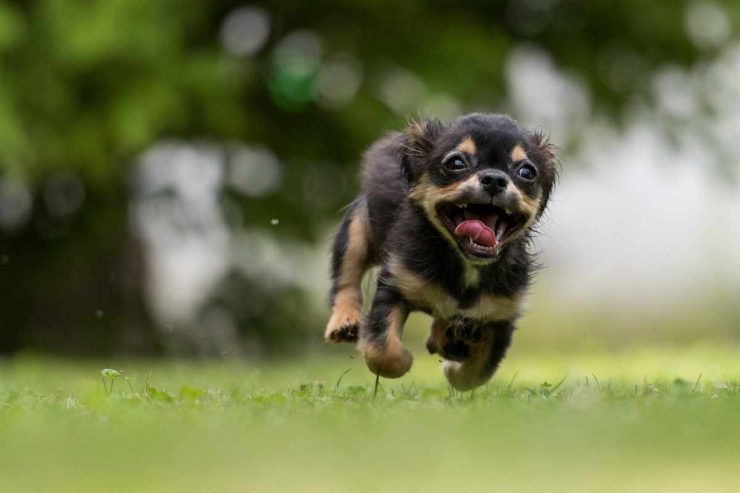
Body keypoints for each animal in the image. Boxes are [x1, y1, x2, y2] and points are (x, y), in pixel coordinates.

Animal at [324, 113, 556, 390]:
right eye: (456, 163)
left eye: (527, 172)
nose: (494, 179)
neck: (465, 263)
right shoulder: (395, 285)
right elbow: (383, 352)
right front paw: (405, 360)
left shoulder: (501, 315)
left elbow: (476, 375)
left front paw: (453, 368)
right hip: (356, 233)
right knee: (346, 279)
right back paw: (344, 322)